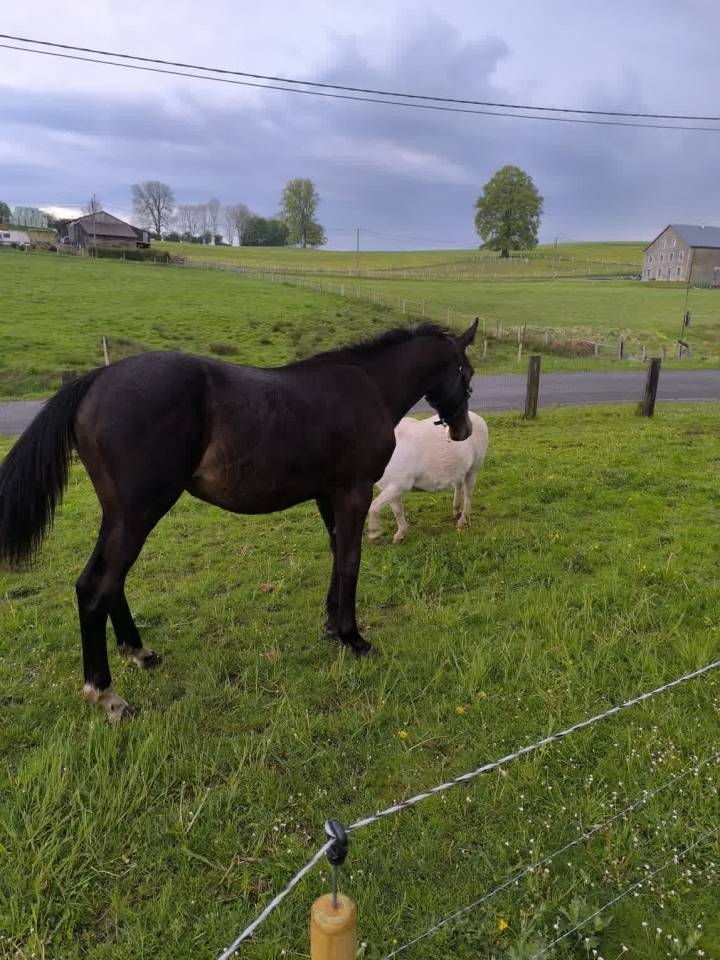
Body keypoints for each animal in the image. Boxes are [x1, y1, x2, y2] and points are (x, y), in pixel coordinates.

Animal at [368, 412, 488, 544]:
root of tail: (477, 417)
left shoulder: (397, 486)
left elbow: (373, 508)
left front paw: (374, 536)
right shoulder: (391, 488)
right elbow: (397, 511)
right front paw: (400, 534)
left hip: (473, 469)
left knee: (468, 495)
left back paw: (463, 521)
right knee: (459, 486)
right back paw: (456, 511)